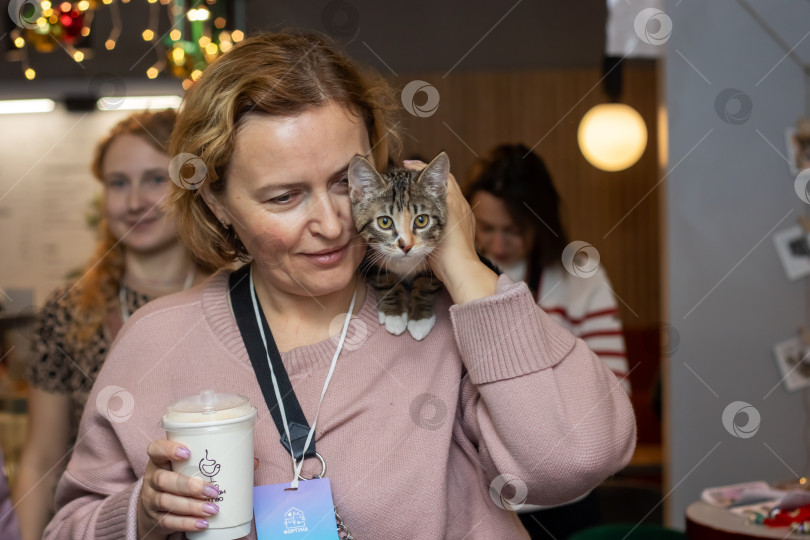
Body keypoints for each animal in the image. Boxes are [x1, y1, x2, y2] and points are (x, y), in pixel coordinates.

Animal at [348, 152, 448, 340]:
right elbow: (385, 279)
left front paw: (420, 319)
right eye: (385, 222)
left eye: (421, 220)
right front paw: (394, 314)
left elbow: (426, 284)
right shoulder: (370, 256)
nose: (406, 246)